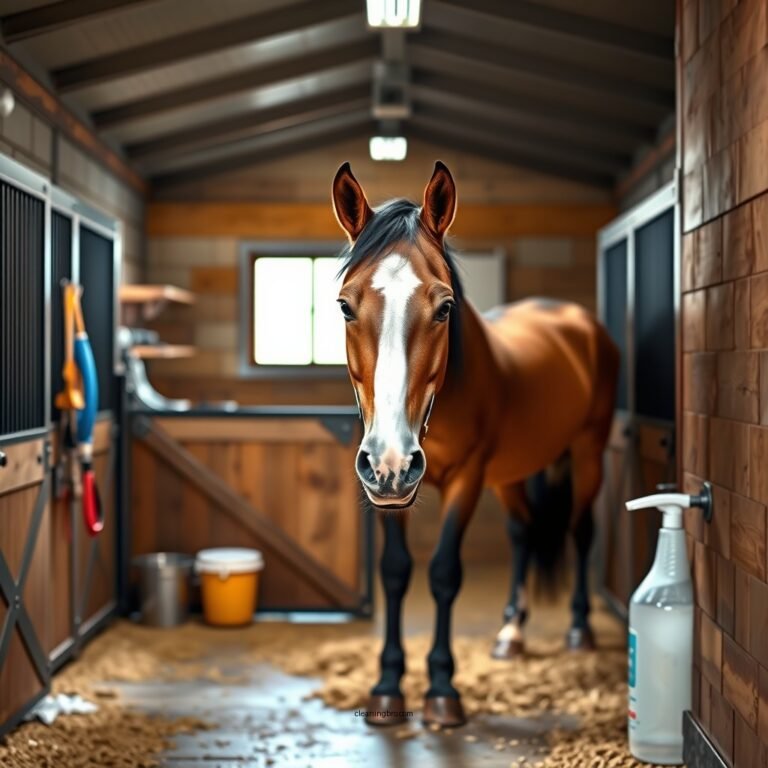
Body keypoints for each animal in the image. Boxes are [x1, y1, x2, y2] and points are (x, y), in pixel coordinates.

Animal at [331, 161, 620, 729]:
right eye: (346, 307)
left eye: (445, 307)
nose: (392, 459)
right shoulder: (386, 491)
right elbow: (395, 573)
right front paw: (387, 687)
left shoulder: (466, 478)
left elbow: (444, 573)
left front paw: (443, 691)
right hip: (510, 473)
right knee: (523, 533)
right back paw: (511, 633)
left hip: (588, 451)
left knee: (579, 530)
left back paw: (579, 629)